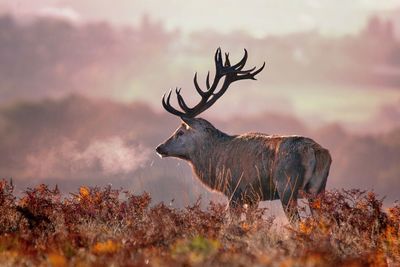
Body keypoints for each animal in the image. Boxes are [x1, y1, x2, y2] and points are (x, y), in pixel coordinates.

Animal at [156, 48, 332, 224]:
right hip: (318, 189)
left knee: (297, 222)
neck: (215, 161)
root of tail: (315, 151)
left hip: (287, 186)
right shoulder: (253, 197)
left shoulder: (235, 191)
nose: (159, 148)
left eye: (180, 132)